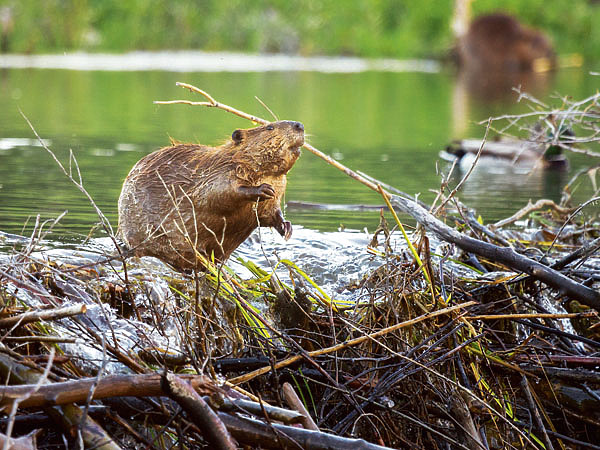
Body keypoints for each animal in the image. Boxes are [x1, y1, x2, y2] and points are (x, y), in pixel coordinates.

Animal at [117, 119, 304, 270]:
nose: (299, 125)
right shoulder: (218, 172)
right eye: (270, 127)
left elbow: (270, 213)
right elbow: (216, 194)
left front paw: (286, 227)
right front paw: (262, 189)